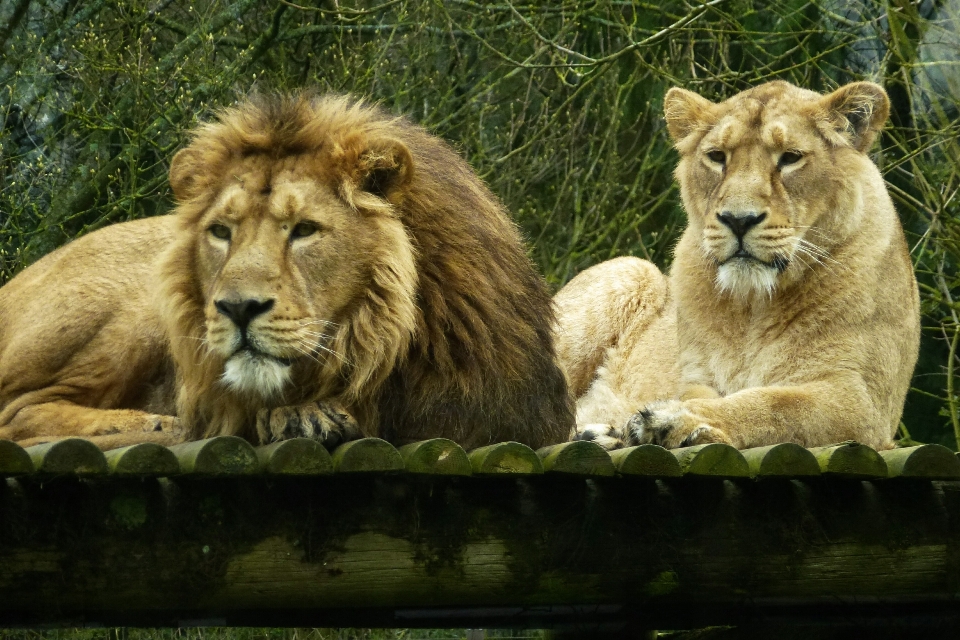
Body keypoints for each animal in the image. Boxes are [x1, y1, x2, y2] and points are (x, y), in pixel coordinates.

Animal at [0, 94, 568, 450]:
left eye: (304, 230)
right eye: (221, 231)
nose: (237, 308)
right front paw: (299, 416)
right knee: (18, 412)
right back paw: (156, 423)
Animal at [560, 81, 920, 450]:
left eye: (790, 157)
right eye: (717, 156)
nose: (738, 219)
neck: (752, 307)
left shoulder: (864, 402)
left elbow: (776, 404)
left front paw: (674, 419)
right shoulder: (696, 374)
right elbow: (709, 396)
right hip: (632, 270)